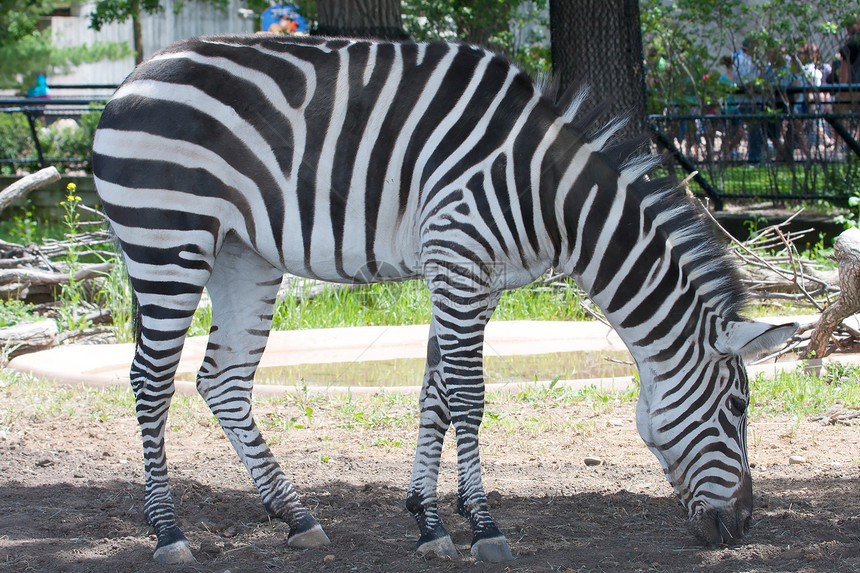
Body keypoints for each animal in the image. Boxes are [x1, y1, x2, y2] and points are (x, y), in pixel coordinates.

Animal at [90, 35, 796, 564]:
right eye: (739, 409)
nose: (743, 529)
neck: (552, 196)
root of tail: (132, 78)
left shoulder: (477, 277)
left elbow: (437, 395)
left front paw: (428, 522)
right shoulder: (458, 260)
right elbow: (469, 397)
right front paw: (483, 527)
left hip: (243, 255)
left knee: (223, 378)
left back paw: (296, 517)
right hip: (168, 239)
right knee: (151, 379)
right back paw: (169, 534)